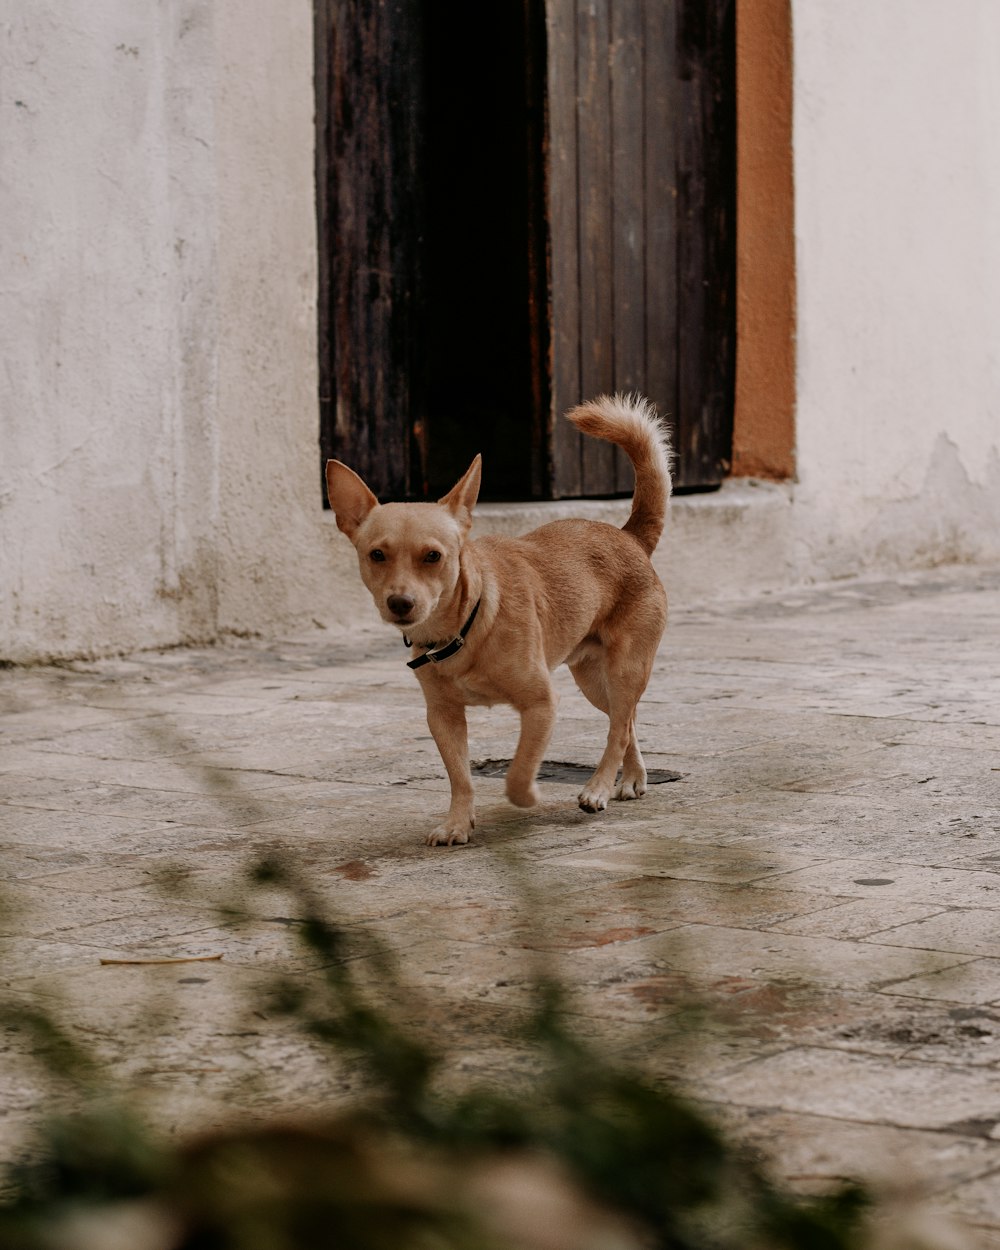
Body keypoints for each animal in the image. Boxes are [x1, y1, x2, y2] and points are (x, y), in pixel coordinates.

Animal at [327, 395, 670, 845]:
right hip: (597, 683)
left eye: (433, 556)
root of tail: (630, 536)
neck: (464, 628)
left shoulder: (541, 704)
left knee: (618, 728)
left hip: (624, 671)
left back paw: (597, 788)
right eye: (376, 555)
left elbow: (520, 768)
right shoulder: (443, 717)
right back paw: (630, 778)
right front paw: (457, 823)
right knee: (625, 721)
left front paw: (527, 797)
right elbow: (461, 777)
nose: (400, 603)